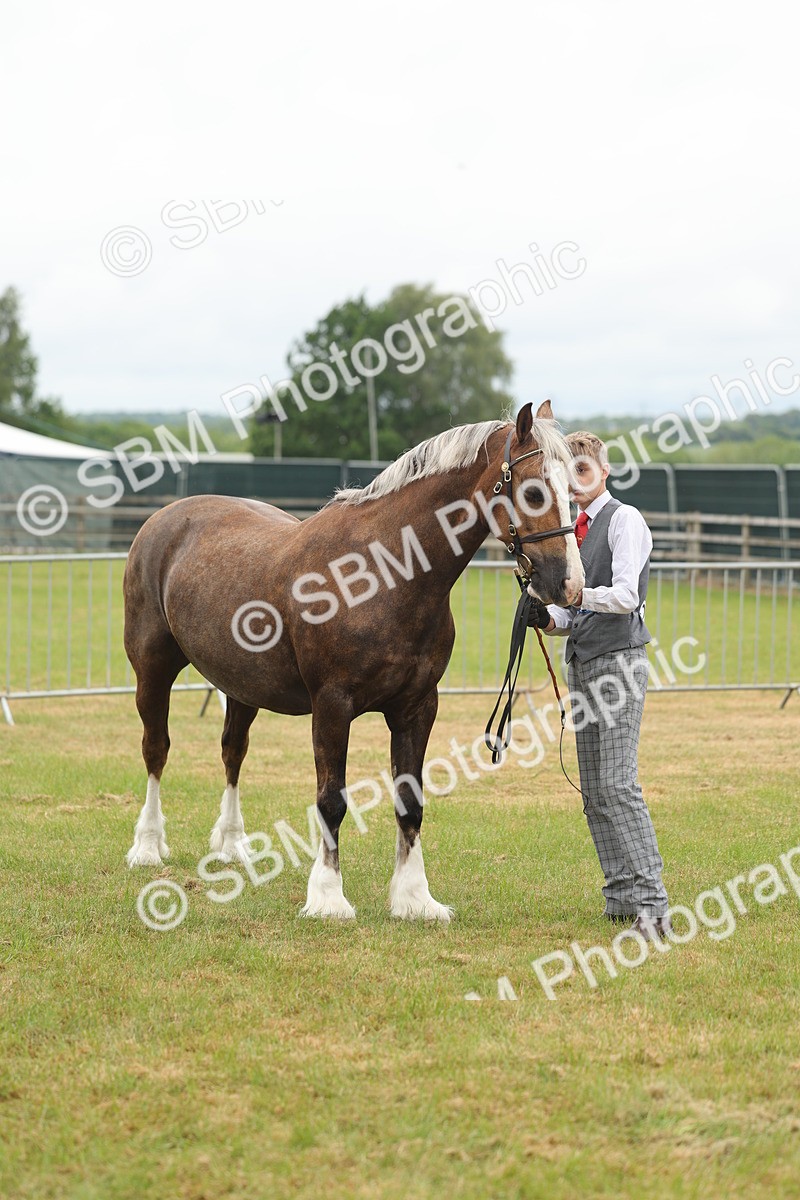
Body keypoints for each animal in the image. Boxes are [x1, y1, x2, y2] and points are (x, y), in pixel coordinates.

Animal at [122, 399, 584, 921]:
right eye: (533, 490)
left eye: (573, 488)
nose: (568, 585)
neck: (381, 573)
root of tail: (163, 519)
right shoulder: (332, 705)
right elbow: (331, 801)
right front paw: (327, 897)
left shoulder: (417, 707)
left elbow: (410, 801)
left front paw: (414, 898)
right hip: (152, 670)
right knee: (156, 748)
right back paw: (147, 846)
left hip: (241, 685)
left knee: (232, 752)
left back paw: (232, 844)